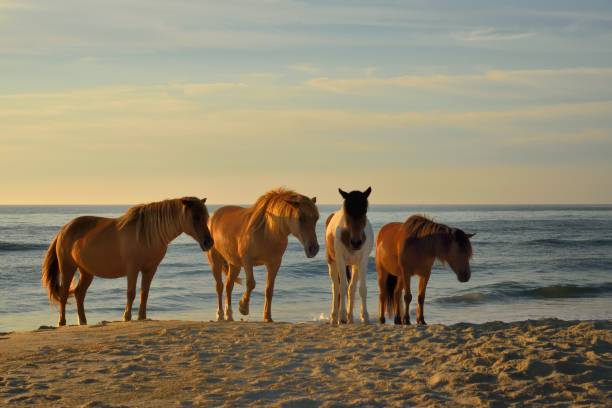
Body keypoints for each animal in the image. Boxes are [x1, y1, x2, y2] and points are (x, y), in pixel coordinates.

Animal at [40, 196, 213, 326]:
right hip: (68, 267)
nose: (209, 243)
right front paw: (126, 317)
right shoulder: (132, 269)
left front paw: (142, 317)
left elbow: (145, 293)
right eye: (195, 217)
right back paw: (62, 322)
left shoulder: (150, 269)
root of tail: (64, 229)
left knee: (79, 294)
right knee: (64, 294)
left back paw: (83, 321)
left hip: (87, 272)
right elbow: (131, 293)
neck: (147, 234)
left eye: (206, 217)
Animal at [207, 188, 320, 322]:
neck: (268, 231)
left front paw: (267, 317)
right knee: (219, 286)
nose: (314, 249)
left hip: (234, 264)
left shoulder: (274, 264)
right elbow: (251, 283)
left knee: (229, 286)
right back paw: (220, 315)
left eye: (316, 218)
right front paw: (243, 307)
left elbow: (269, 289)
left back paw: (229, 315)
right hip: (215, 260)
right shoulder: (247, 261)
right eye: (301, 218)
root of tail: (214, 216)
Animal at [326, 188, 372, 326]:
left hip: (354, 265)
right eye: (347, 212)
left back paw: (350, 317)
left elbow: (361, 289)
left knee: (352, 288)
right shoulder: (340, 260)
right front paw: (341, 317)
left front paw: (365, 316)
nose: (356, 242)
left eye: (364, 211)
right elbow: (342, 287)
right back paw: (334, 316)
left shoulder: (362, 261)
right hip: (332, 262)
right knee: (335, 287)